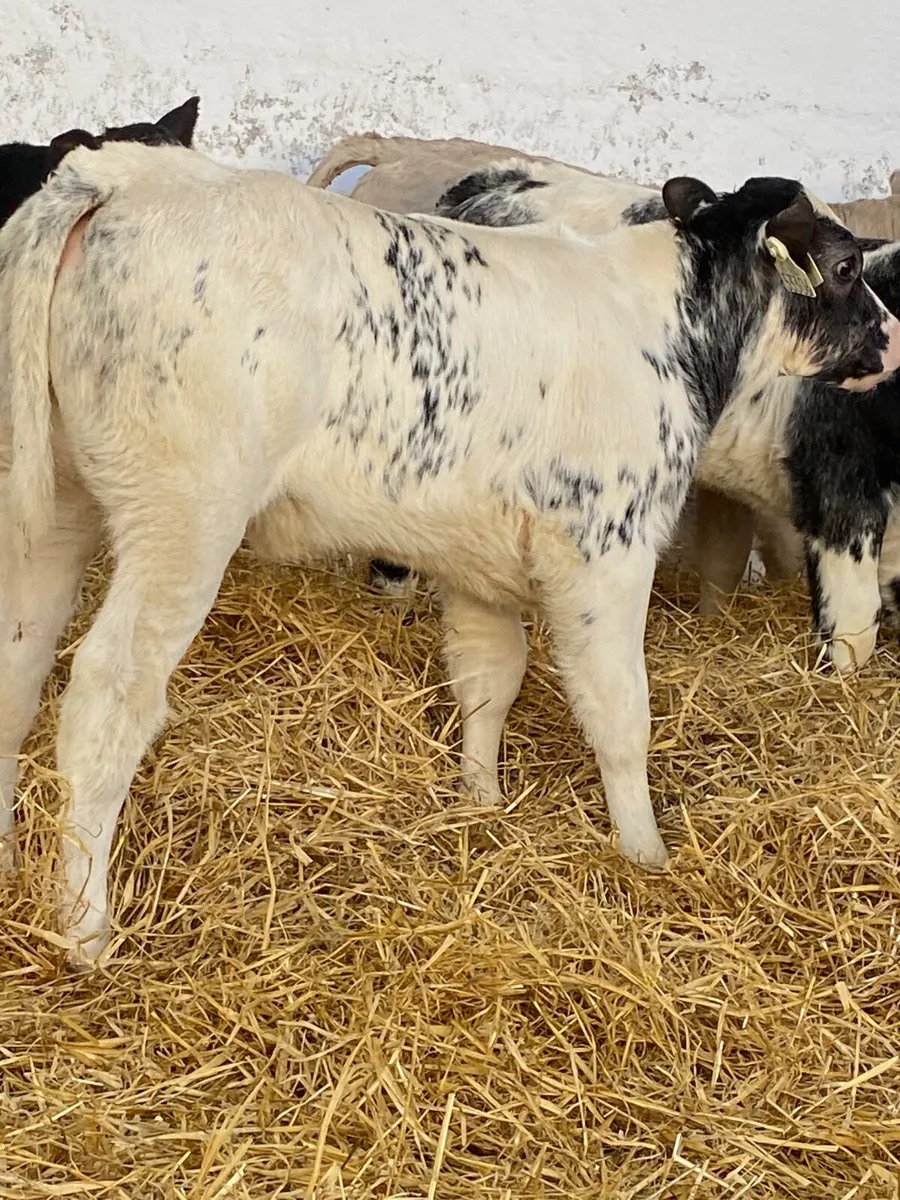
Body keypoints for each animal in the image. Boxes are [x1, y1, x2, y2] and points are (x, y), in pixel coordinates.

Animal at [0, 141, 897, 969]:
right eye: (847, 264)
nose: (891, 336)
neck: (666, 328)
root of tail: (124, 172)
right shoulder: (604, 550)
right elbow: (619, 711)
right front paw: (645, 852)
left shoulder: (475, 557)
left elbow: (487, 677)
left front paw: (482, 801)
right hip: (182, 519)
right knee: (106, 700)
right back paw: (85, 930)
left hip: (52, 512)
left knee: (18, 672)